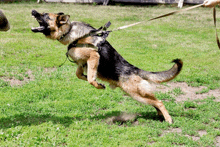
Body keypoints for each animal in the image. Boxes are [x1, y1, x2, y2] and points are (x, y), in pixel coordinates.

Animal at [31, 9, 182, 123]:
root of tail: (134, 69)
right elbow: (80, 74)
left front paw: (98, 85)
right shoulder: (82, 63)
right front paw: (93, 80)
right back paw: (160, 116)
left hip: (136, 93)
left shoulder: (93, 56)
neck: (70, 31)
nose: (33, 11)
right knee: (155, 102)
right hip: (137, 95)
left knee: (159, 102)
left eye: (46, 16)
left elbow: (91, 78)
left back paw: (168, 119)